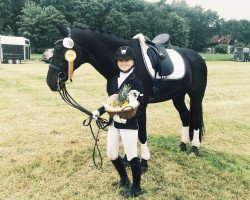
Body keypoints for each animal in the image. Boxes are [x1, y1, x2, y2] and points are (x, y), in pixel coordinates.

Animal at [46, 27, 207, 159]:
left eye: (60, 49)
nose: (50, 82)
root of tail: (197, 57)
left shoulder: (140, 107)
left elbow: (141, 134)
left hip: (196, 96)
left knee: (196, 118)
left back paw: (195, 148)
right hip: (177, 96)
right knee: (185, 116)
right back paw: (182, 145)